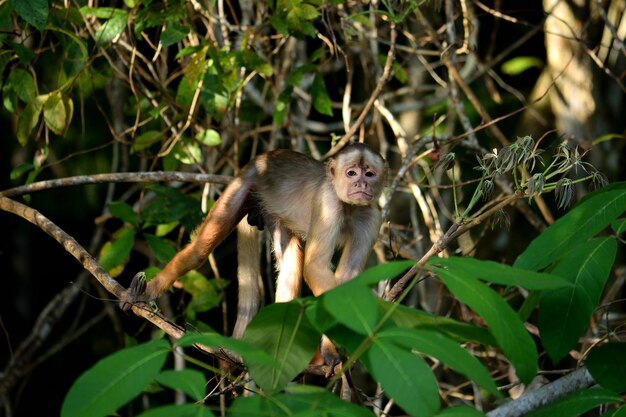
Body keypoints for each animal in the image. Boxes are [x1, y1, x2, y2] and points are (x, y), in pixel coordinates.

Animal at [120, 143, 386, 370]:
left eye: (369, 174)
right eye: (351, 173)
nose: (361, 185)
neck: (348, 206)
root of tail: (263, 157)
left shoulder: (372, 216)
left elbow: (348, 281)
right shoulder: (328, 204)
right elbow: (315, 266)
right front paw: (335, 348)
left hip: (269, 208)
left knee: (290, 261)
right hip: (246, 183)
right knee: (200, 250)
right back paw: (148, 290)